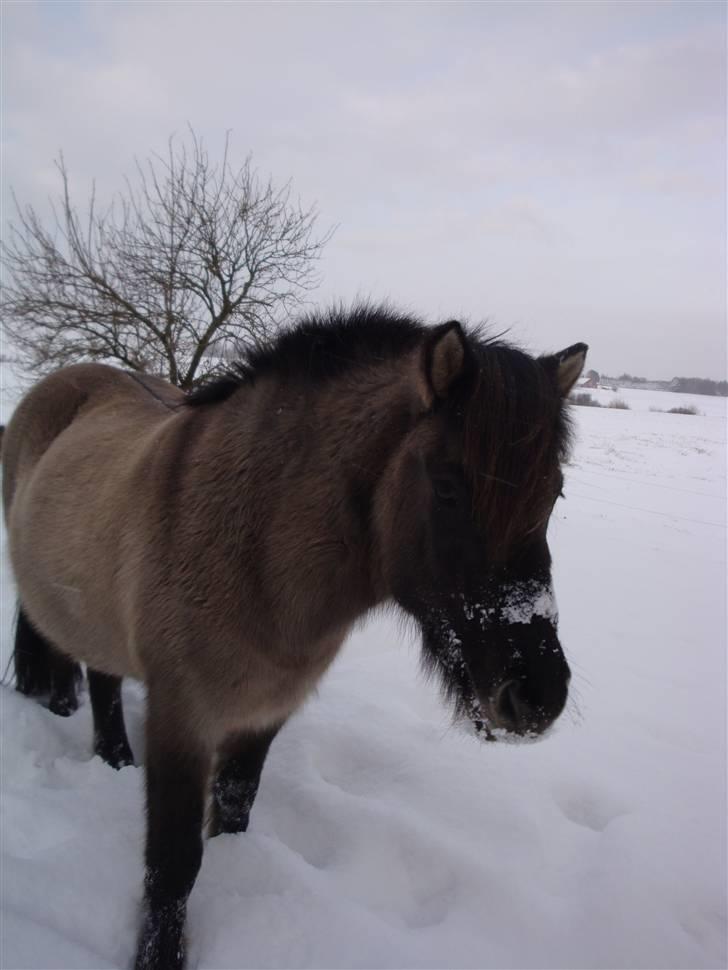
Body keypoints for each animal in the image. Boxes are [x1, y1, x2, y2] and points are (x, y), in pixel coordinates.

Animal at [1, 306, 584, 968]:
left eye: (554, 493)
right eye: (448, 488)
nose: (538, 696)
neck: (251, 553)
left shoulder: (265, 714)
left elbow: (233, 810)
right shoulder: (182, 719)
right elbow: (172, 864)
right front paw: (159, 956)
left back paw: (115, 758)